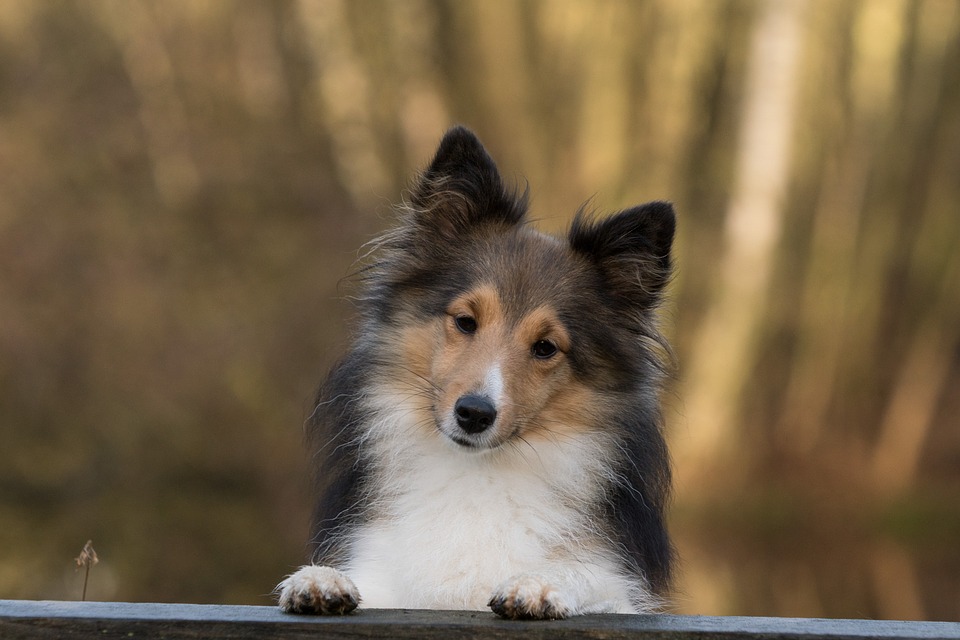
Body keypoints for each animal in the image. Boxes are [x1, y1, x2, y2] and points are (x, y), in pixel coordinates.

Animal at [274, 126, 672, 620]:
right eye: (466, 321)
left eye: (546, 347)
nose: (474, 414)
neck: (476, 475)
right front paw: (322, 580)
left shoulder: (615, 591)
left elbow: (589, 583)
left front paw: (538, 585)